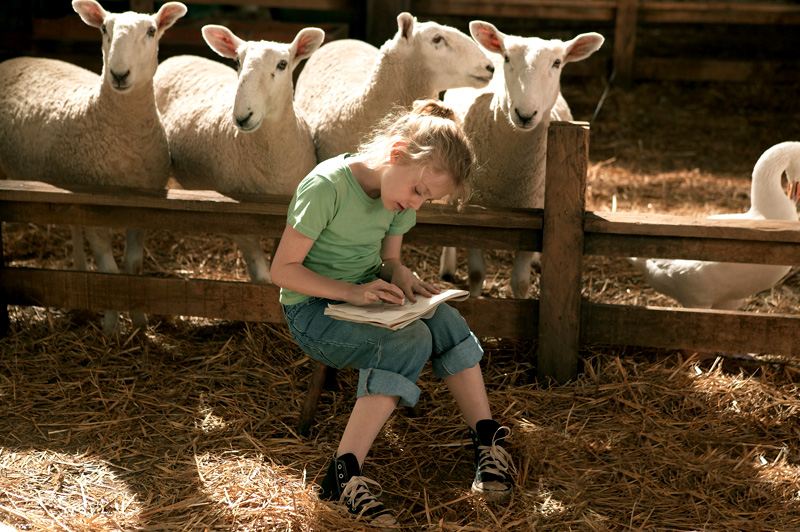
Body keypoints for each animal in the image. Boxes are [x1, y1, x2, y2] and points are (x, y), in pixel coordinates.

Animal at [0, 0, 188, 332]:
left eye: (151, 31)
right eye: (103, 29)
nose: (119, 74)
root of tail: (13, 59)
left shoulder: (142, 208)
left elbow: (133, 266)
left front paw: (139, 323)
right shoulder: (94, 208)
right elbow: (109, 273)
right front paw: (112, 328)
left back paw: (79, 268)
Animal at [155, 25, 324, 284]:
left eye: (282, 64)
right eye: (237, 61)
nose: (243, 117)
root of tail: (179, 57)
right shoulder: (239, 218)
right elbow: (262, 278)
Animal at [440, 20, 604, 300]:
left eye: (557, 63)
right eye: (507, 58)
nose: (525, 115)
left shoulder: (533, 214)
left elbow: (521, 281)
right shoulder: (475, 211)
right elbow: (477, 273)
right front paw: (475, 299)